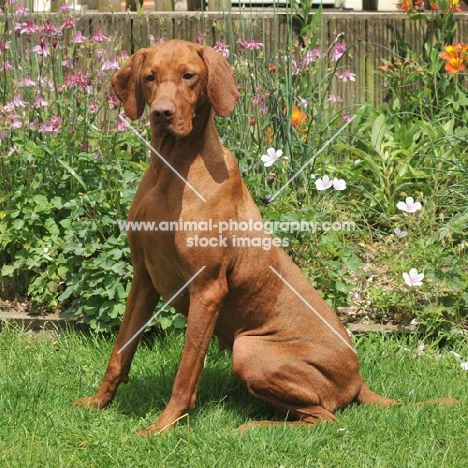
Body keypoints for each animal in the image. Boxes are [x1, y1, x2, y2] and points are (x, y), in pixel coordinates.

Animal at [73, 38, 454, 434]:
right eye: (149, 77)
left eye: (189, 76)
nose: (162, 113)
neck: (172, 169)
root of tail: (358, 379)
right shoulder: (144, 279)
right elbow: (120, 351)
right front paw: (97, 403)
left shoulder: (207, 288)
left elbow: (186, 371)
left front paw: (162, 427)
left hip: (250, 349)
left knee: (325, 417)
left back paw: (254, 426)